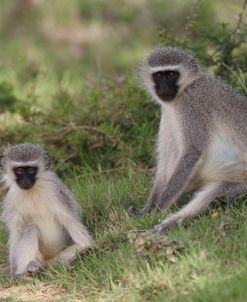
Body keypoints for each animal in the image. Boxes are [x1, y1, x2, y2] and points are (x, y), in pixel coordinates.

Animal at [1, 144, 93, 278]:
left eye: (31, 170)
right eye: (19, 170)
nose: (25, 181)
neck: (32, 191)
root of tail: (45, 261)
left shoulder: (56, 192)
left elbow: (83, 240)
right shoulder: (12, 200)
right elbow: (16, 233)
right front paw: (14, 273)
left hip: (55, 258)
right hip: (38, 255)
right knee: (30, 228)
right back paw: (25, 272)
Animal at [128, 46, 247, 231]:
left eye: (171, 74)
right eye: (159, 75)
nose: (164, 88)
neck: (186, 87)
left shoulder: (189, 104)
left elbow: (192, 152)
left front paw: (157, 210)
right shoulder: (168, 111)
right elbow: (165, 163)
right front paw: (146, 210)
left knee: (215, 194)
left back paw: (168, 225)